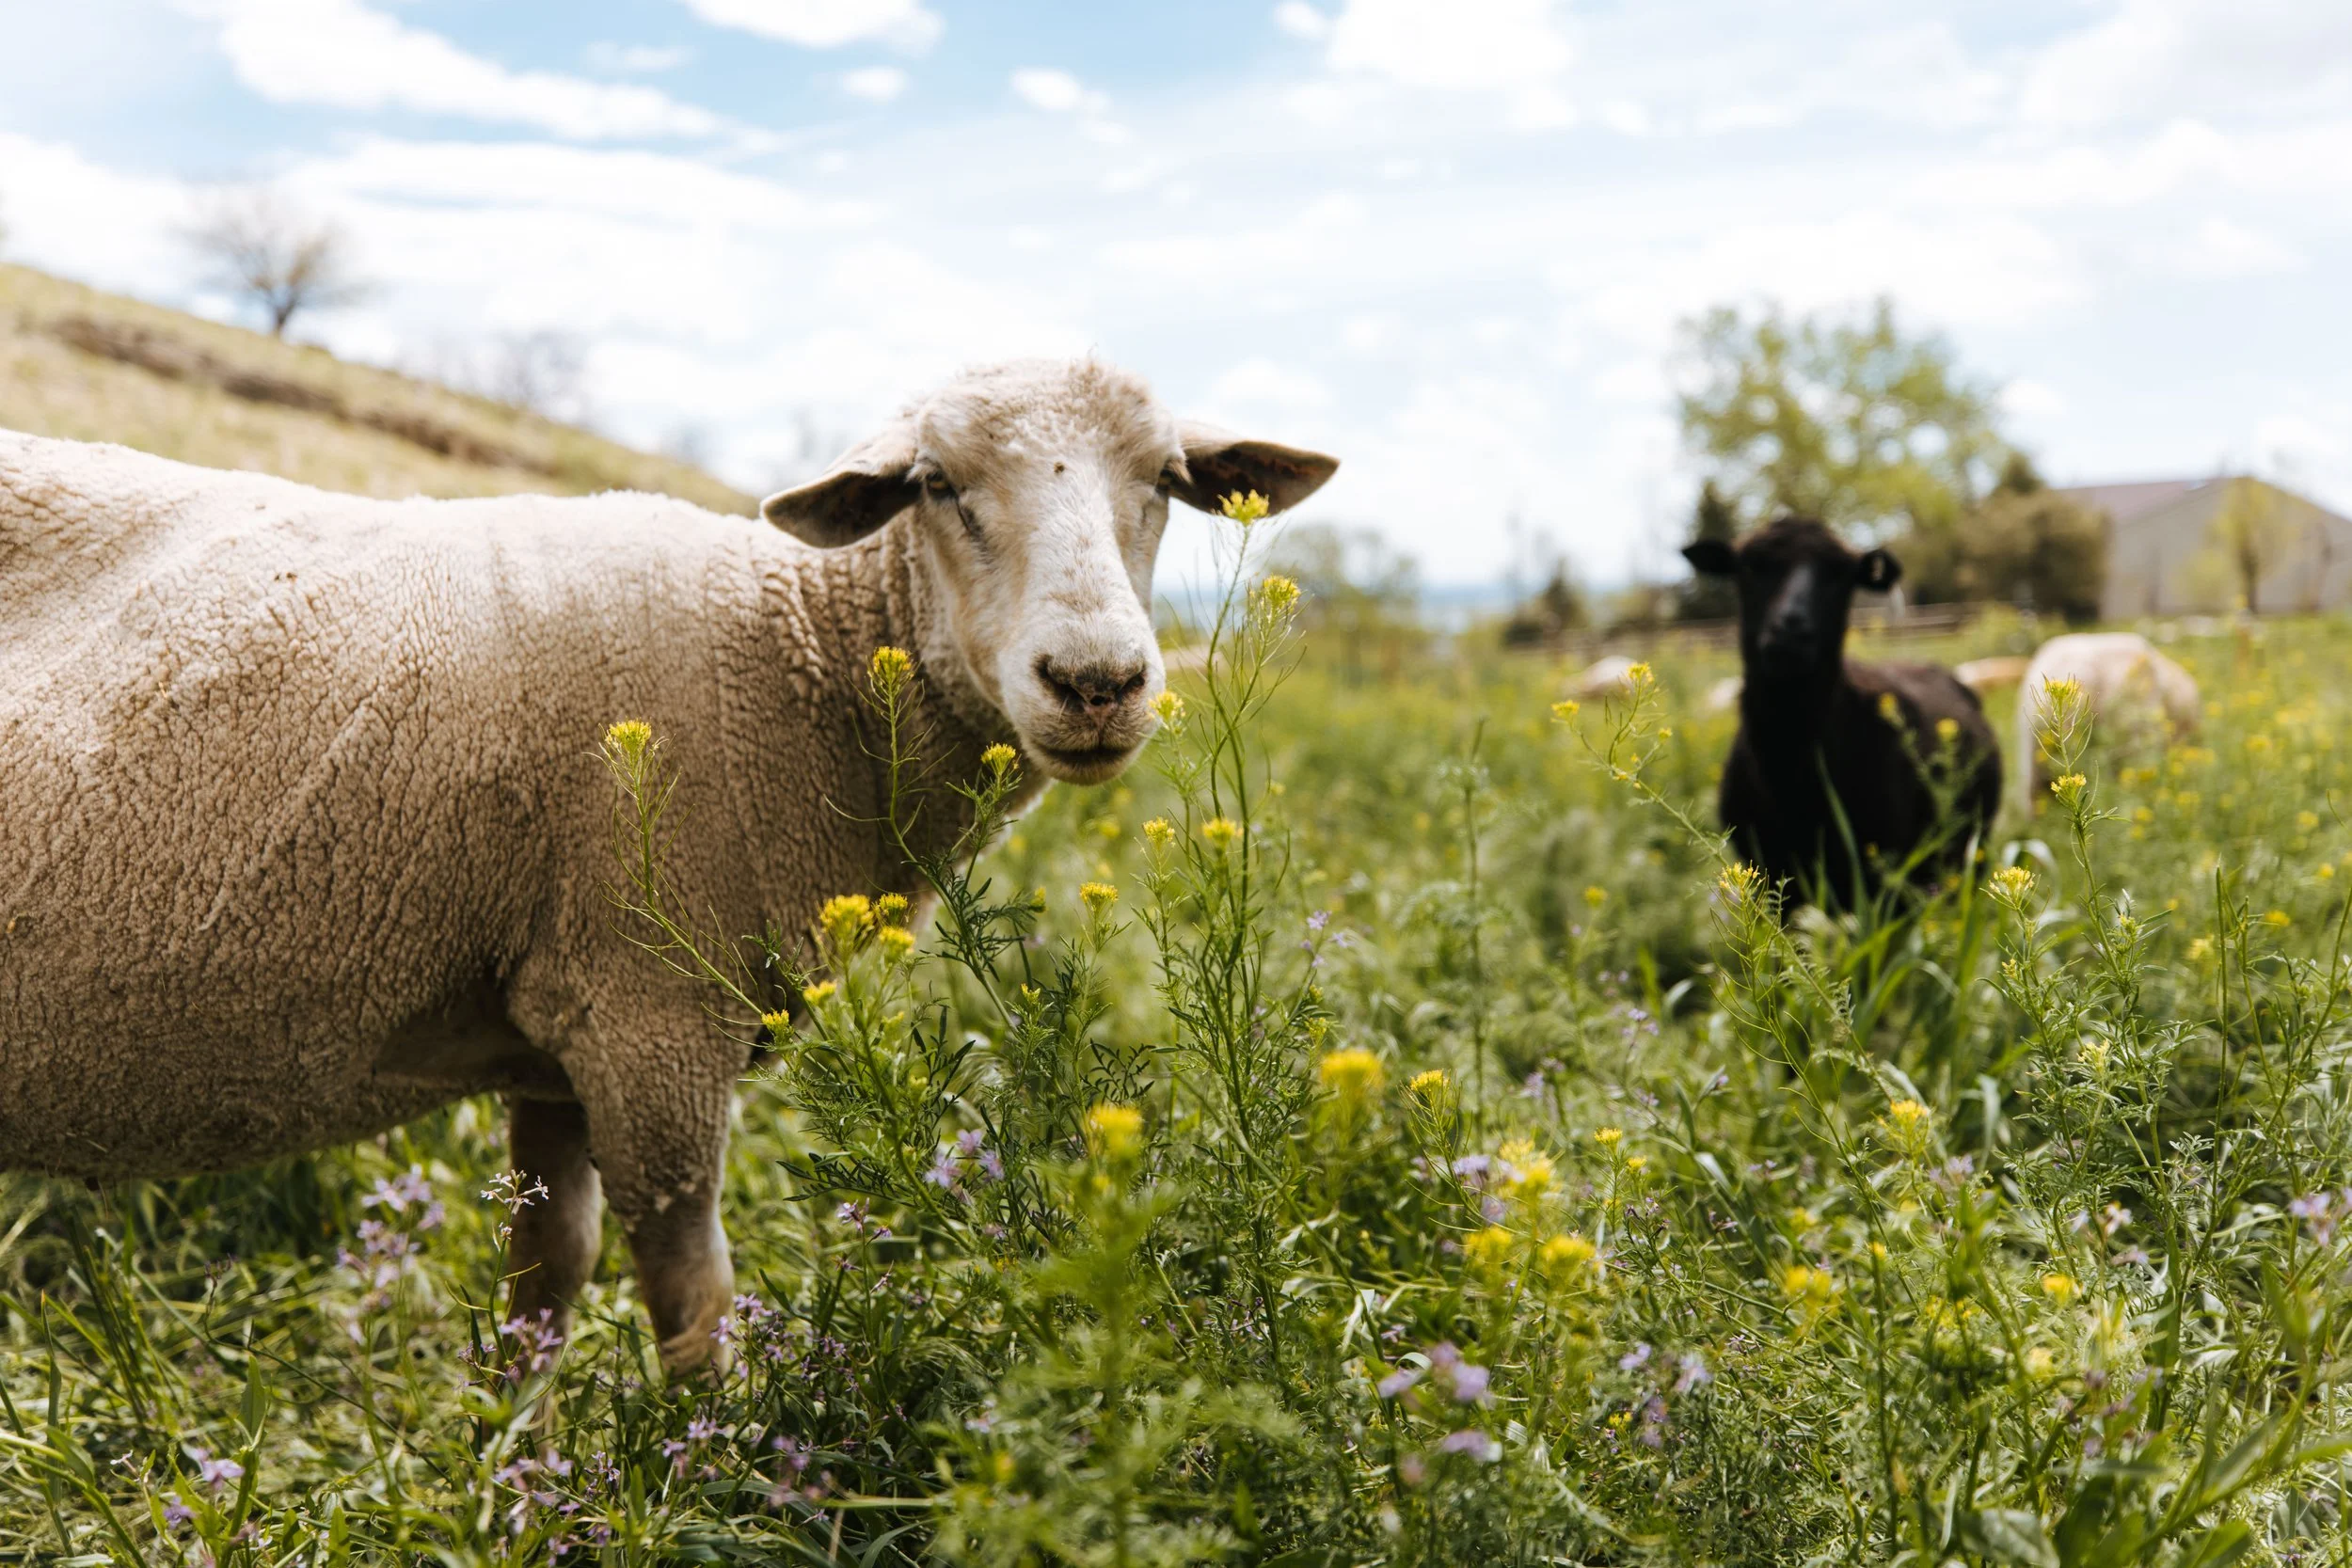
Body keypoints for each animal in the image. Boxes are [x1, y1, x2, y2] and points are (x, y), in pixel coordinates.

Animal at [0, 358, 1338, 1374]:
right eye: (934, 483)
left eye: (1165, 483)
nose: (1098, 680)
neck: (805, 653)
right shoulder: (654, 1012)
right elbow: (692, 1301)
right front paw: (713, 1479)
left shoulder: (554, 1026)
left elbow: (545, 1281)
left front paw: (518, 1483)